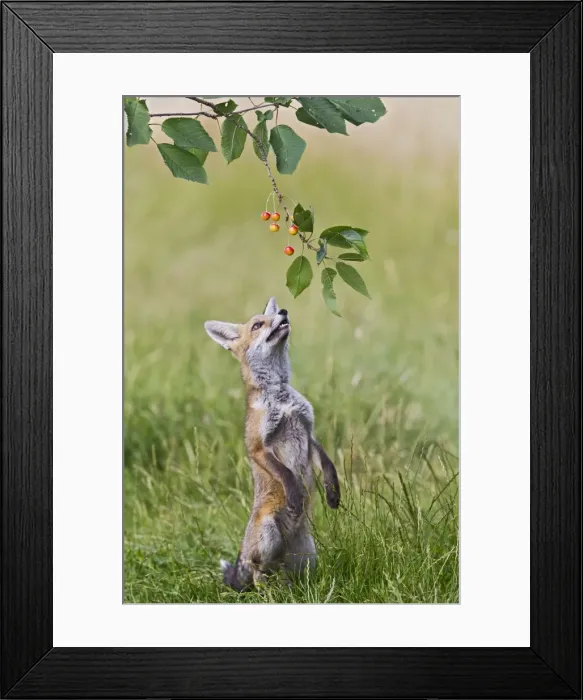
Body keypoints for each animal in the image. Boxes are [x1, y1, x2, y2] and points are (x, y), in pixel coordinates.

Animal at [204, 297, 340, 591]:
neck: (280, 398)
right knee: (258, 573)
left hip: (307, 556)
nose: (284, 311)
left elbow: (328, 464)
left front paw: (333, 491)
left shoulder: (308, 432)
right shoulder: (258, 447)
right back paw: (268, 592)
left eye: (272, 316)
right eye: (257, 325)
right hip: (268, 537)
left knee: (283, 575)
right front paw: (295, 494)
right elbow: (286, 473)